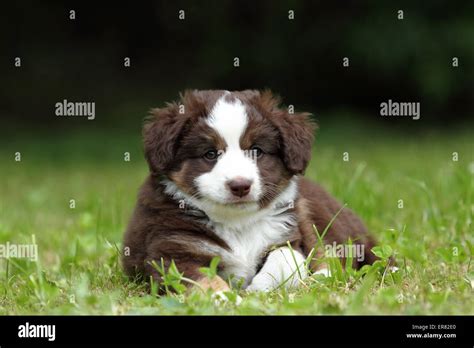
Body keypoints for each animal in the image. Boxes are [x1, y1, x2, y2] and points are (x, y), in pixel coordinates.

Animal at [123, 89, 378, 290]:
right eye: (210, 154)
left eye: (256, 150)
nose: (240, 185)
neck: (238, 223)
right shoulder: (171, 252)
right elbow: (204, 282)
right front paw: (226, 300)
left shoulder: (288, 235)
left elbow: (286, 259)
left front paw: (259, 288)